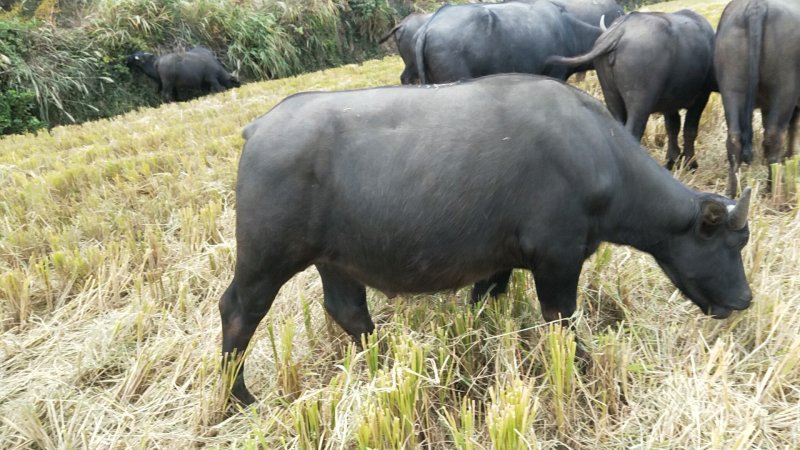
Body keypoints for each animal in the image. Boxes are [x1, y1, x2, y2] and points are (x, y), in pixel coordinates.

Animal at [222, 74, 752, 404]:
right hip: (267, 258)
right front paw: (587, 370)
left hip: (334, 260)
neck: (597, 156)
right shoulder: (557, 261)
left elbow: (481, 305)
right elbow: (563, 324)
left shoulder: (500, 265)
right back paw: (240, 397)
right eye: (722, 242)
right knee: (239, 311)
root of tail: (260, 127)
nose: (744, 300)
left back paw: (390, 367)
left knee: (348, 311)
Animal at [548, 11, 716, 172]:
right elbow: (689, 130)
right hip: (640, 101)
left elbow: (672, 127)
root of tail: (620, 29)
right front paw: (691, 164)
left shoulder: (670, 104)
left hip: (610, 94)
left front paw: (672, 160)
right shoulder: (701, 98)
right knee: (634, 131)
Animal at [716, 0, 796, 197]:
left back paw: (731, 193)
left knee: (734, 139)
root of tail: (757, 5)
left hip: (731, 88)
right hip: (784, 89)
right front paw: (791, 155)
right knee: (773, 137)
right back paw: (773, 189)